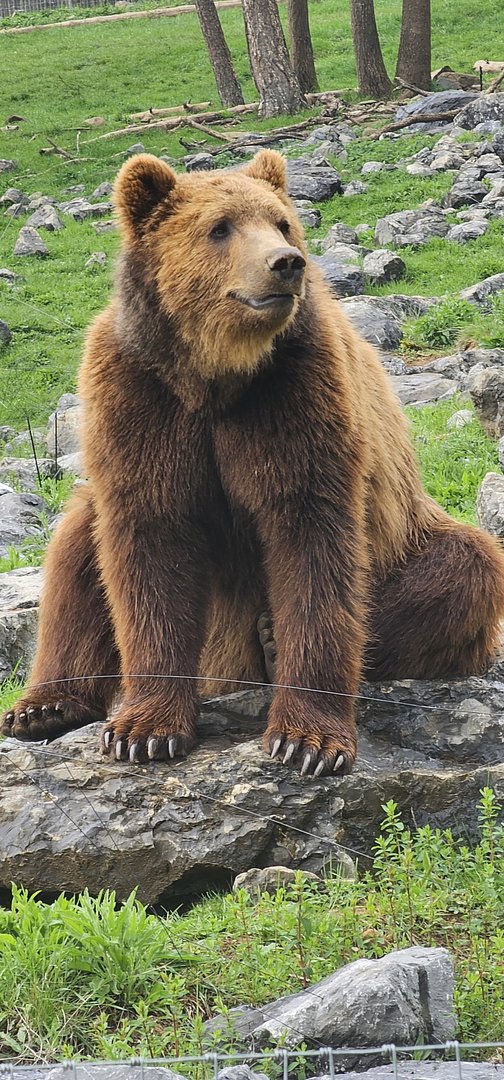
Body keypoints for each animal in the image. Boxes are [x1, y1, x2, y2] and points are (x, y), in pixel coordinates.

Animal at [3, 149, 504, 777]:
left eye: (283, 223)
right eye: (220, 228)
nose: (285, 264)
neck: (214, 376)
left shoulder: (295, 394)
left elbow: (310, 538)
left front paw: (306, 741)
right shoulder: (140, 396)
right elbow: (150, 542)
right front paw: (143, 731)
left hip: (408, 541)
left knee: (468, 566)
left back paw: (269, 640)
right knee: (76, 546)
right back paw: (43, 707)